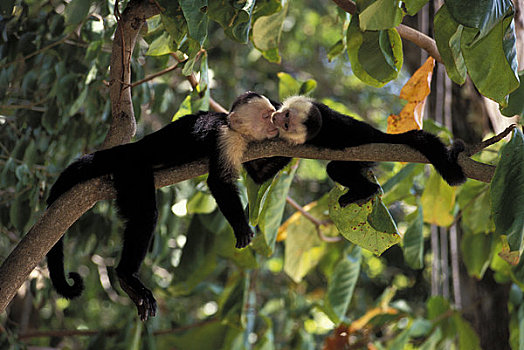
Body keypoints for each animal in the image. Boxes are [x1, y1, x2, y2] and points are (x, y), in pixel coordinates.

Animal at [46, 91, 276, 322]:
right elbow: (219, 182)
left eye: (273, 114)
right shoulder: (225, 138)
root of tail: (133, 148)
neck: (234, 128)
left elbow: (258, 175)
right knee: (146, 215)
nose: (275, 123)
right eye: (266, 116)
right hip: (133, 169)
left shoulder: (249, 147)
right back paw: (127, 276)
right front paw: (241, 227)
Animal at [246, 95, 466, 205]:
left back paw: (367, 190)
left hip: (365, 153)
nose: (277, 118)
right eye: (285, 115)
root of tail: (379, 136)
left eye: (286, 123)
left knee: (335, 169)